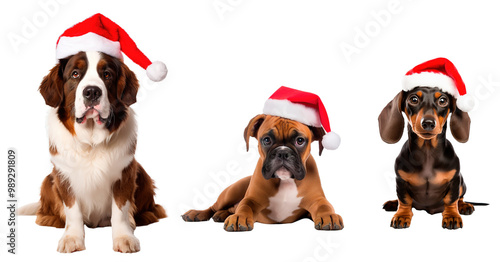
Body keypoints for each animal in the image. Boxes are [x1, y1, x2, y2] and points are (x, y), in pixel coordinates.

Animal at [19, 50, 166, 253]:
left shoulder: (125, 173)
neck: (91, 141)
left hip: (141, 173)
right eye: (75, 74)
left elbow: (120, 210)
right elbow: (72, 211)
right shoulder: (64, 175)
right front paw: (72, 238)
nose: (92, 92)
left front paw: (124, 237)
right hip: (48, 181)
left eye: (107, 75)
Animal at [183, 114, 344, 231]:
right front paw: (239, 217)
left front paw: (329, 216)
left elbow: (324, 206)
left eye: (300, 140)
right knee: (214, 207)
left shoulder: (317, 199)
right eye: (266, 140)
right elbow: (244, 206)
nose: (283, 152)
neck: (285, 181)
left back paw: (221, 215)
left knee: (229, 208)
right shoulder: (252, 200)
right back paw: (197, 213)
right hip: (230, 193)